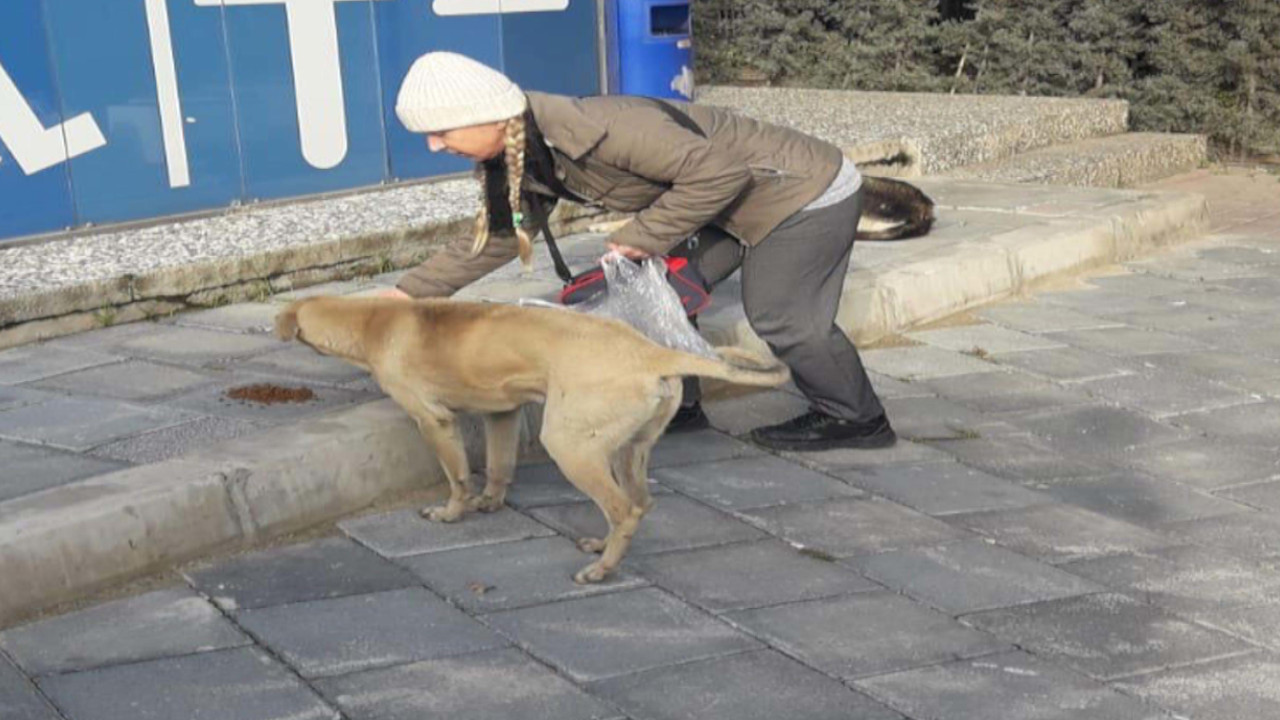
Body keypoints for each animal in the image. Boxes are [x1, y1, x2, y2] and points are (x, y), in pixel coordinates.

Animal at [275, 294, 783, 579]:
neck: (374, 318)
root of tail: (652, 352)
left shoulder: (433, 420)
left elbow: (458, 477)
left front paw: (451, 513)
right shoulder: (503, 413)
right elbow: (499, 468)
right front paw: (490, 502)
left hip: (571, 446)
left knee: (621, 509)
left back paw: (602, 570)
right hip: (629, 450)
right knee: (638, 505)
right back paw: (603, 547)